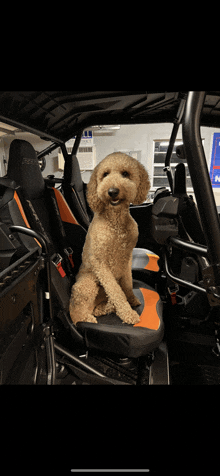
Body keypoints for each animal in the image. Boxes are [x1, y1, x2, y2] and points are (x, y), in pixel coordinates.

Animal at [69, 152, 150, 324]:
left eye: (125, 173)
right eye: (105, 174)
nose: (112, 191)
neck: (116, 221)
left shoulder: (127, 258)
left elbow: (127, 283)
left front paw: (132, 299)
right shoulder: (101, 263)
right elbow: (116, 291)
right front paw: (127, 313)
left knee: (98, 306)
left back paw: (104, 308)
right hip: (87, 284)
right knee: (77, 312)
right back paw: (88, 317)